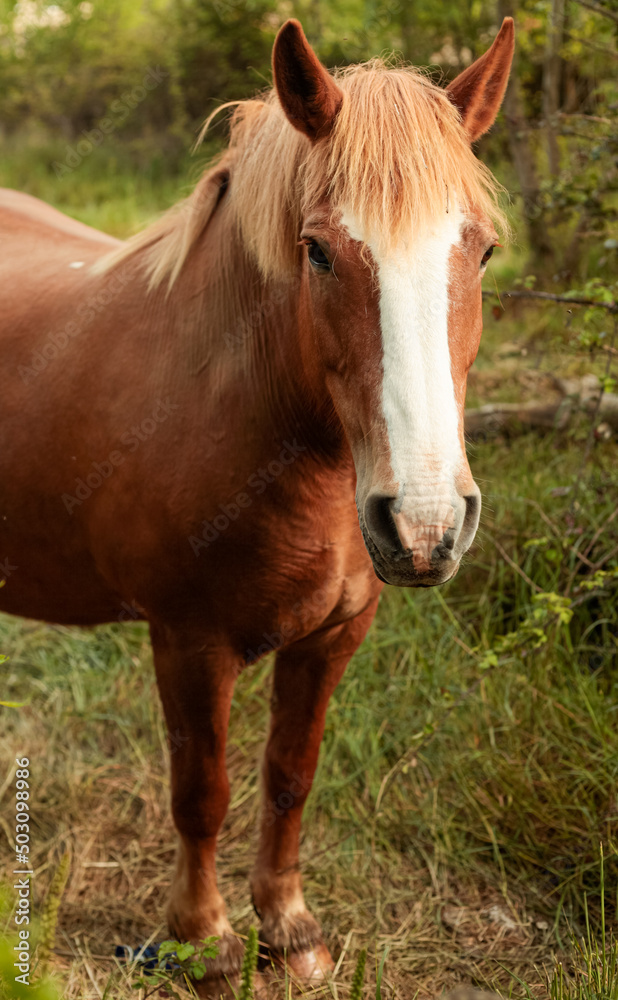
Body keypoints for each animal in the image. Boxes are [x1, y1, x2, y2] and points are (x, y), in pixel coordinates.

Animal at [0, 15, 510, 992]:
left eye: (482, 249)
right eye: (317, 250)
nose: (425, 524)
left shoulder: (333, 636)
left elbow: (289, 776)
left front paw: (290, 929)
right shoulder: (190, 643)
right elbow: (203, 793)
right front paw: (204, 941)